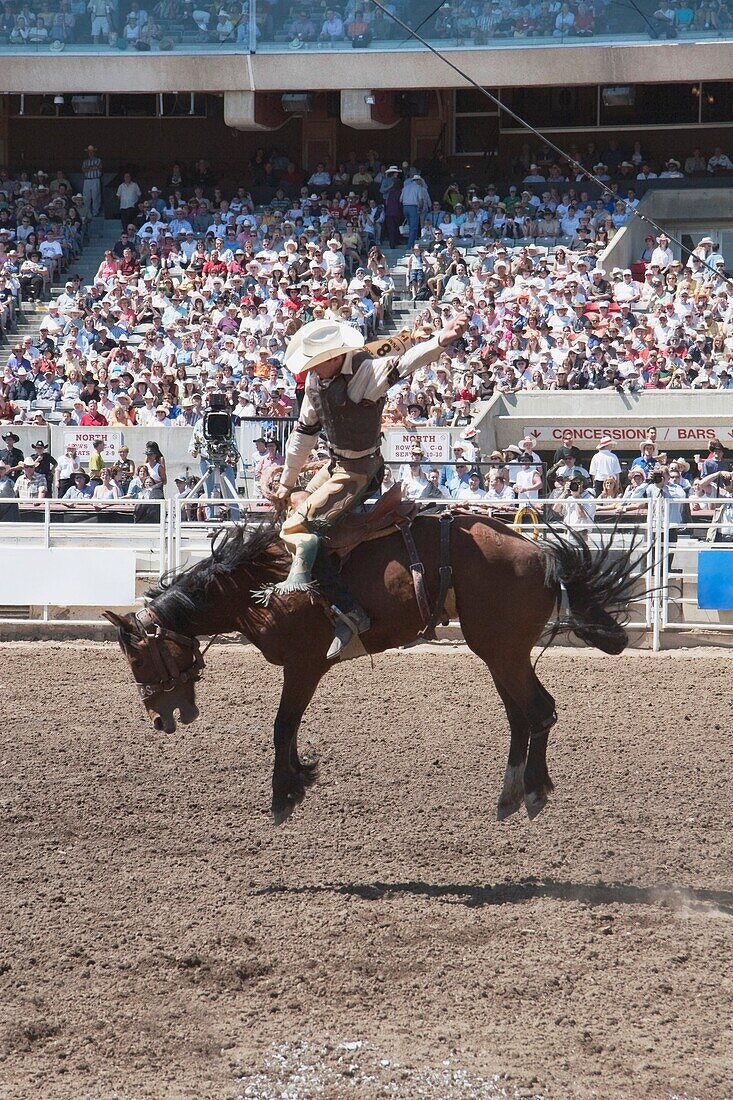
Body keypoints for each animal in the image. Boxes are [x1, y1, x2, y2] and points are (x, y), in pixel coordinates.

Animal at [104, 514, 638, 827]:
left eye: (138, 657)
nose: (158, 719)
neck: (255, 586)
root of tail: (541, 554)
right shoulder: (302, 669)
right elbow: (288, 729)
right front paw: (301, 777)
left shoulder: (304, 665)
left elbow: (282, 726)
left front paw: (283, 795)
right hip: (503, 653)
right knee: (522, 716)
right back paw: (513, 794)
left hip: (501, 650)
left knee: (538, 711)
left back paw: (532, 791)